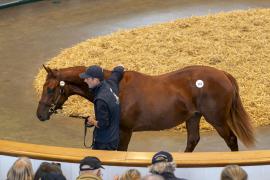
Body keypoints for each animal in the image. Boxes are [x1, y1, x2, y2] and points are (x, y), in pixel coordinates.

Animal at [37, 65, 254, 151]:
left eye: (50, 88)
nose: (40, 114)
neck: (115, 88)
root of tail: (223, 74)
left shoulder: (124, 131)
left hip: (217, 120)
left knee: (231, 140)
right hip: (193, 117)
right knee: (193, 141)